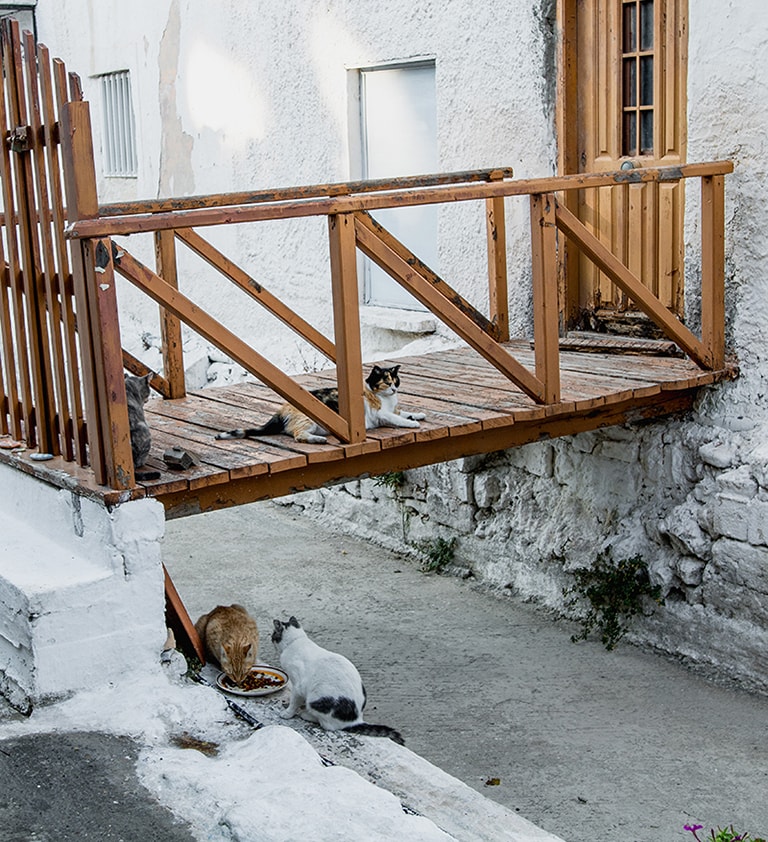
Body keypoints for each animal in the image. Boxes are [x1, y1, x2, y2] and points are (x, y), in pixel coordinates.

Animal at [213, 362, 424, 446]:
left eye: (396, 381)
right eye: (387, 382)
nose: (394, 389)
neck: (386, 398)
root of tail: (281, 410)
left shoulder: (393, 409)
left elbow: (403, 412)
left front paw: (419, 415)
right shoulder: (381, 414)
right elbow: (399, 418)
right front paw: (413, 423)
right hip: (308, 420)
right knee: (298, 436)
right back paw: (319, 440)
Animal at [272, 612, 404, 744]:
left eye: (273, 634)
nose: (271, 638)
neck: (296, 641)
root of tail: (356, 720)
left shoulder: (297, 686)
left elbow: (294, 702)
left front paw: (288, 713)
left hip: (315, 698)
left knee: (327, 725)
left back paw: (306, 715)